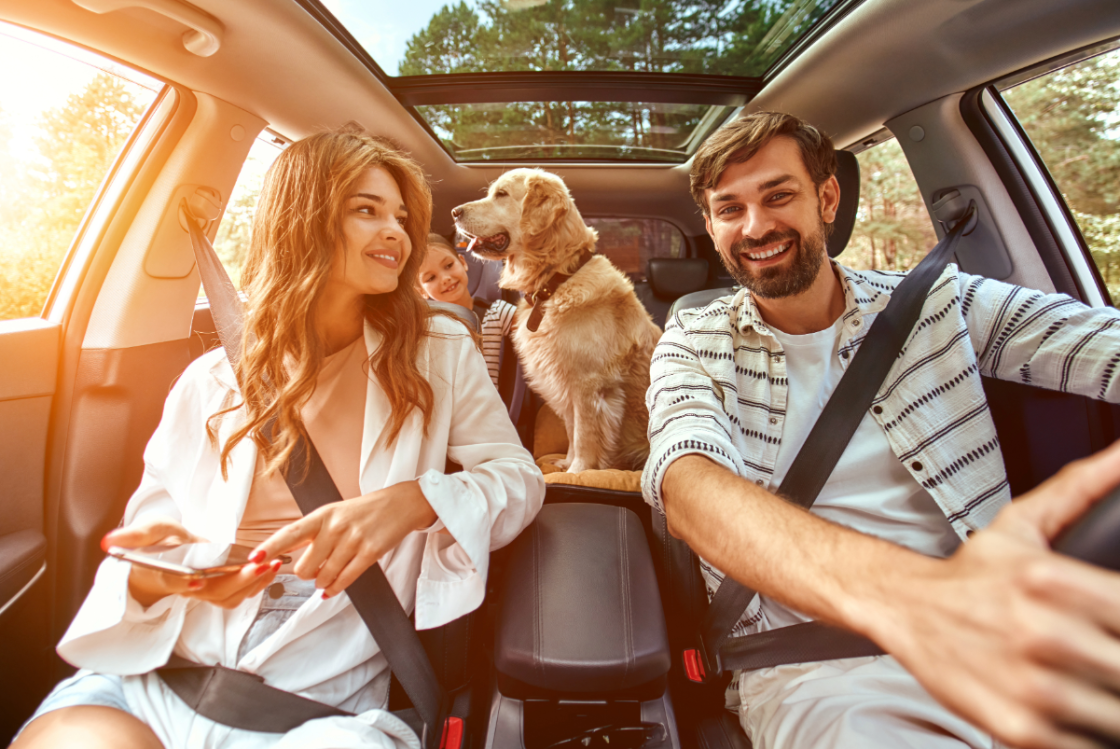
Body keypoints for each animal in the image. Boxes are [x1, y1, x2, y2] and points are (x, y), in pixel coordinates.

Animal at [450, 171, 658, 472]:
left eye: (501, 194)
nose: (454, 212)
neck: (556, 280)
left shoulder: (588, 384)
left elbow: (584, 434)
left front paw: (579, 470)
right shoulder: (562, 378)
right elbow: (571, 428)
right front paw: (566, 462)